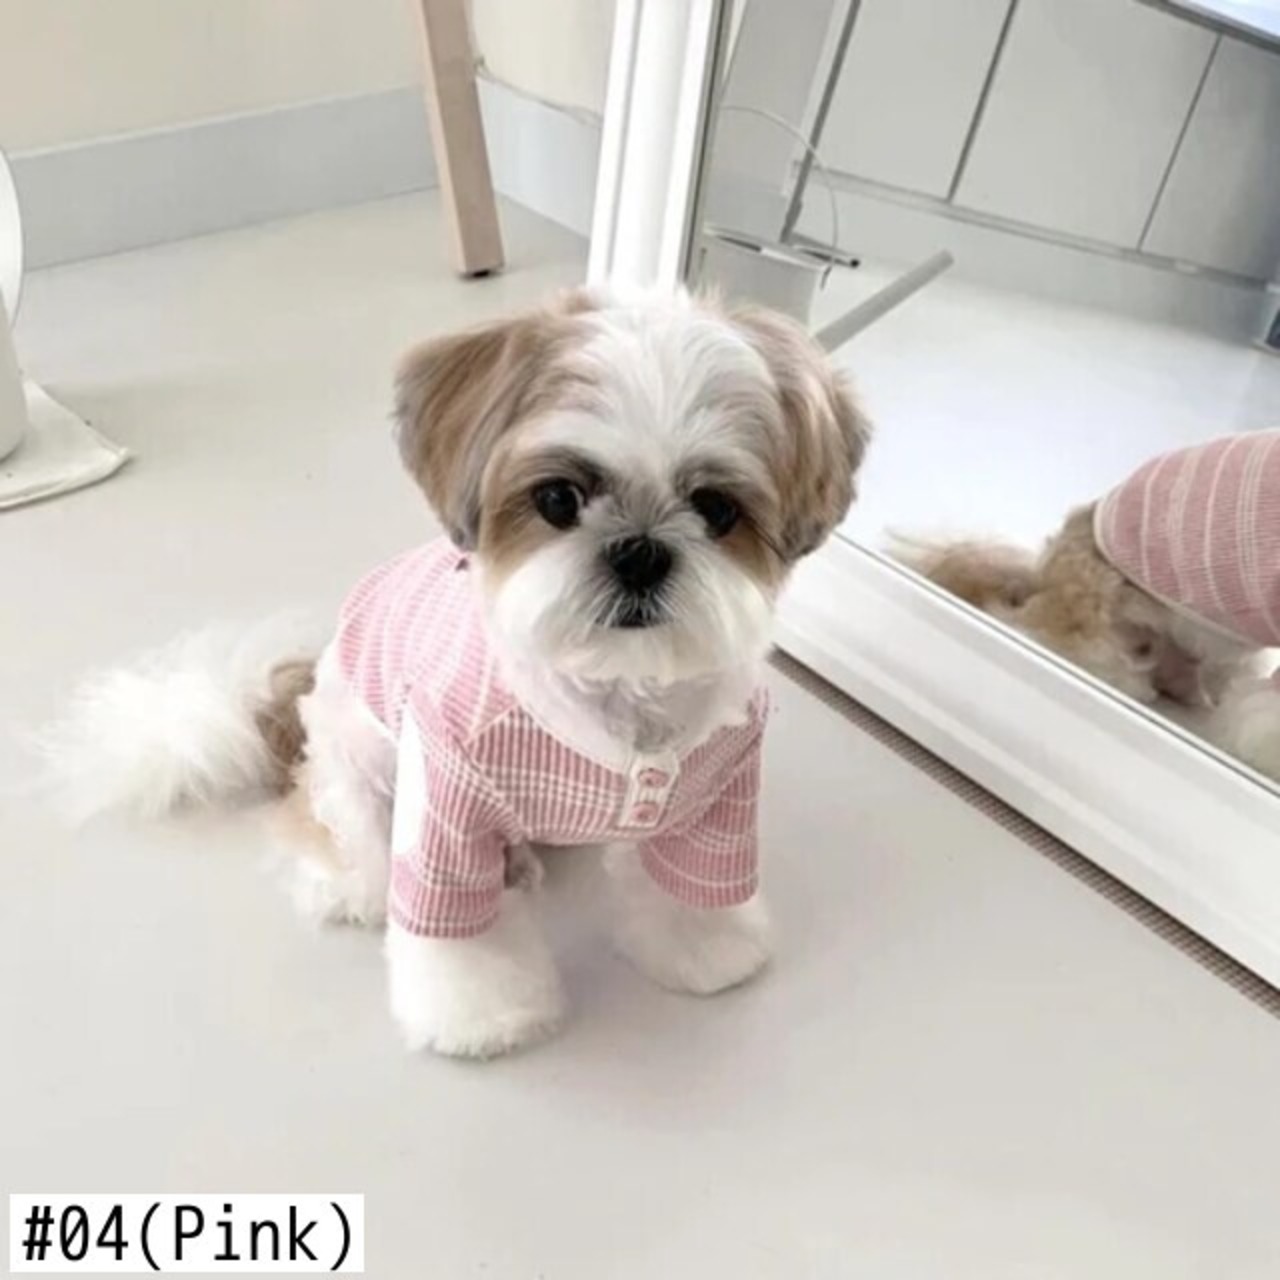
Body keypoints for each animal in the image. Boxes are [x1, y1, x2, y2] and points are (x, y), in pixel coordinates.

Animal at [45, 287, 870, 1058]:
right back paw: (349, 885)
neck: (613, 688)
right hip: (358, 782)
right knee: (342, 841)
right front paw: (483, 1015)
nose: (639, 552)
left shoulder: (719, 797)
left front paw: (703, 949)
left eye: (717, 509)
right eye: (558, 499)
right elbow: (460, 937)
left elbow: (692, 887)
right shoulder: (446, 807)